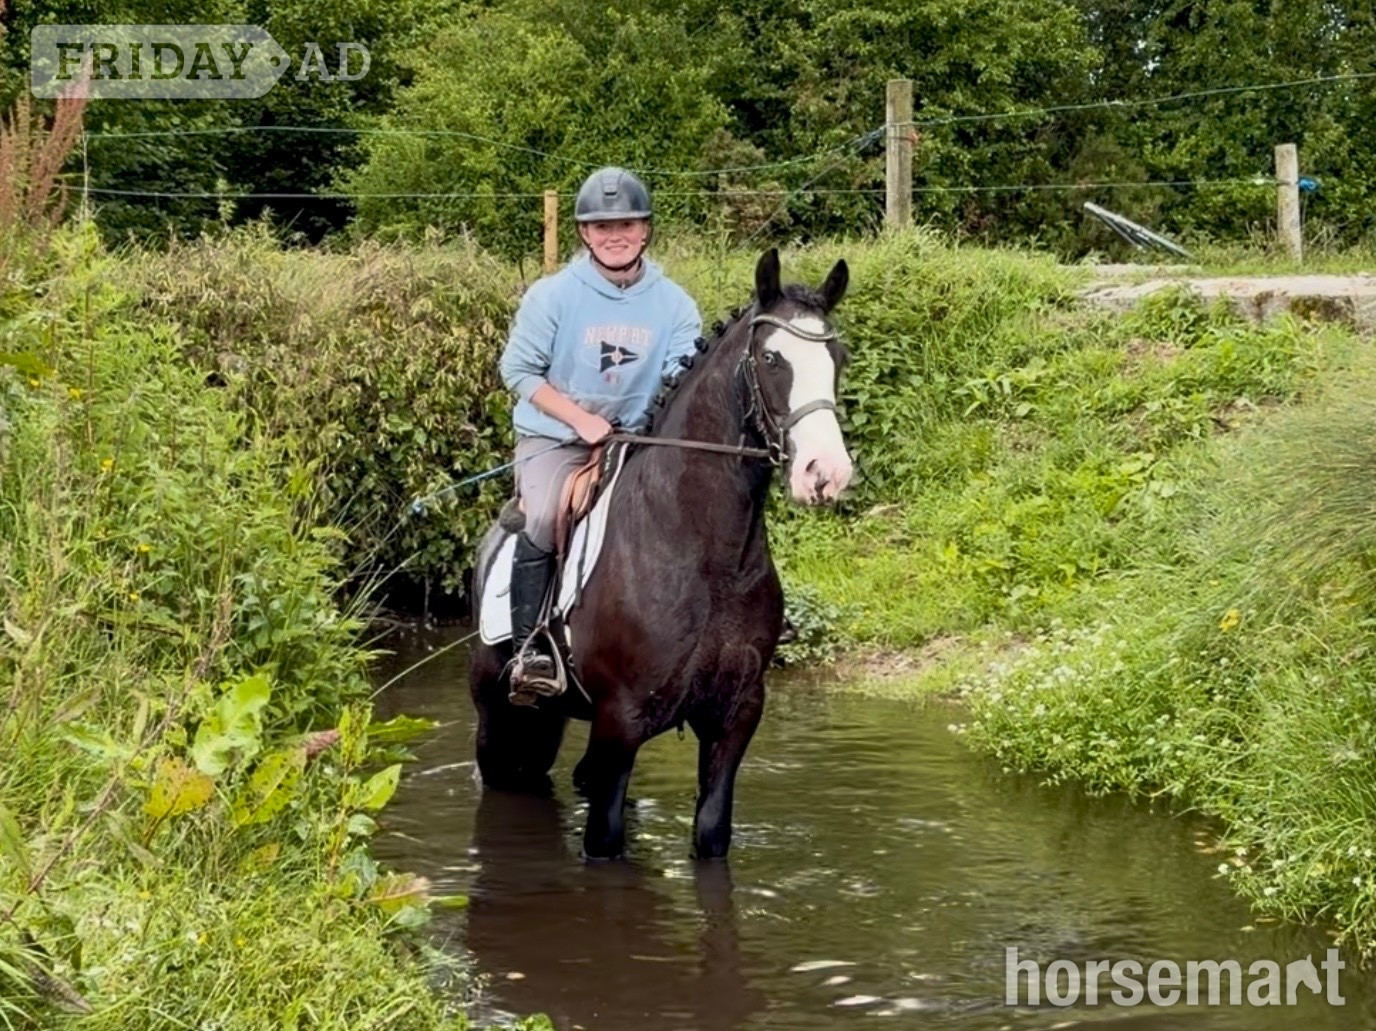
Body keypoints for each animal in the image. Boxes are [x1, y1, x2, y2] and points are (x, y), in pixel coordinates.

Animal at [468, 247, 852, 860]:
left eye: (837, 357)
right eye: (771, 358)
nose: (827, 473)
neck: (707, 557)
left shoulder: (734, 716)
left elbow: (712, 831)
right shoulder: (620, 721)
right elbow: (603, 843)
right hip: (500, 721)